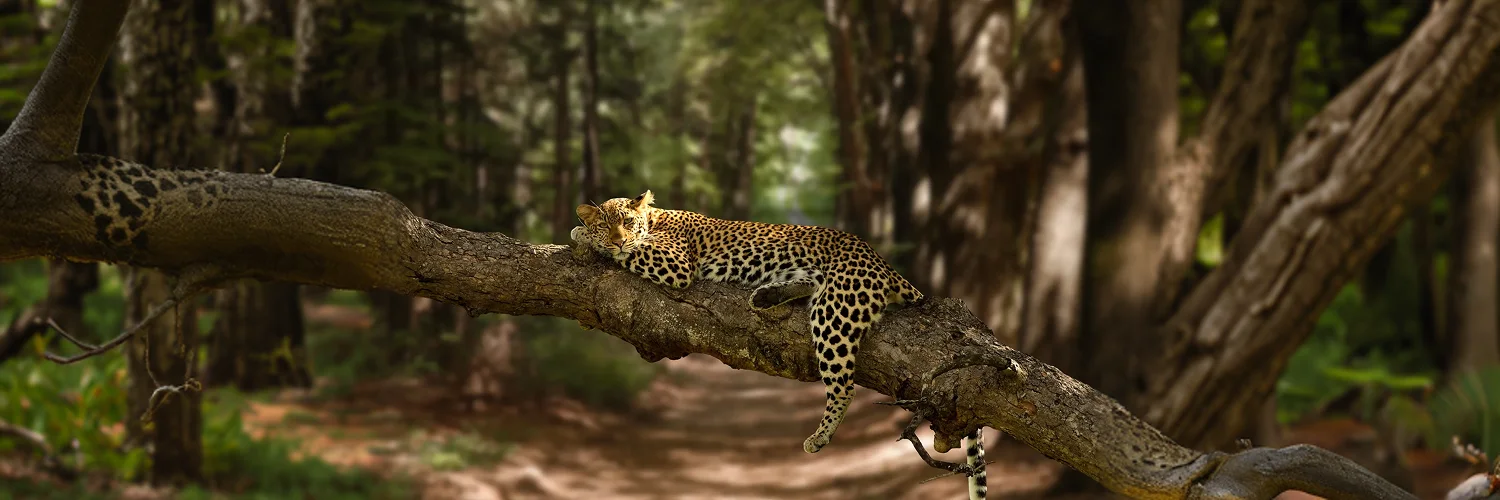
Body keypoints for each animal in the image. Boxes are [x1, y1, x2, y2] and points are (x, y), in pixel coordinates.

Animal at [571, 190, 988, 499]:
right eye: (608, 224)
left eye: (626, 223)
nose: (617, 237)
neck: (655, 219)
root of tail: (881, 262)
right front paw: (586, 233)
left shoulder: (675, 262)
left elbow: (631, 252)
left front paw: (585, 237)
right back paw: (766, 296)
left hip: (835, 312)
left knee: (844, 385)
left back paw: (820, 436)